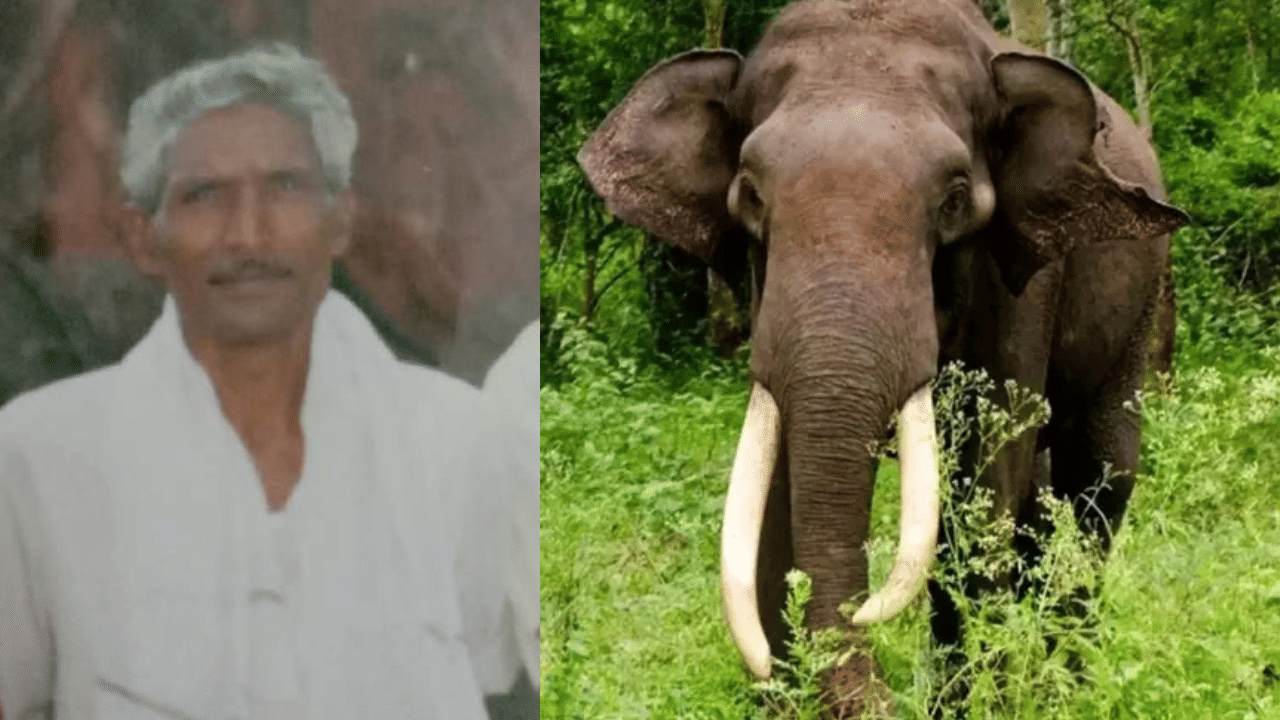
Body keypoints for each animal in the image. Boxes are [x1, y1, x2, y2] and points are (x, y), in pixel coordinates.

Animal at [577, 0, 1187, 716]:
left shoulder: (1024, 277)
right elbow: (781, 487)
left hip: (1144, 298)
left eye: (955, 197)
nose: (862, 619)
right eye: (751, 194)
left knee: (1099, 482)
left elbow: (980, 485)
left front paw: (968, 702)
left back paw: (1067, 687)